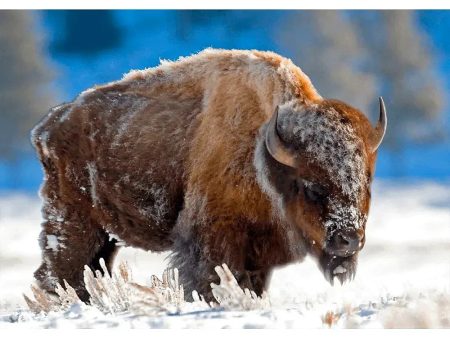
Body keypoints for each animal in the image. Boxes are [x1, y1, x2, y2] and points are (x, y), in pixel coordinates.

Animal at [31, 47, 386, 302]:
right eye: (312, 187)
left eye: (366, 182)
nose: (348, 239)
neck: (264, 150)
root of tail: (49, 125)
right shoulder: (213, 241)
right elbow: (210, 281)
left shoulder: (258, 255)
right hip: (74, 223)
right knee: (60, 272)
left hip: (104, 235)